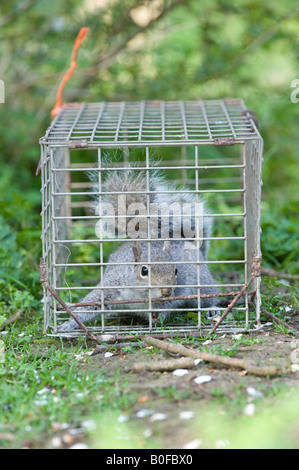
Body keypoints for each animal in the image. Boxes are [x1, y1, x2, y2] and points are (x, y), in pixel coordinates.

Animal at [58, 162, 218, 330]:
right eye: (144, 270)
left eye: (176, 270)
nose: (166, 291)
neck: (139, 294)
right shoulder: (111, 287)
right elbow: (91, 304)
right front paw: (69, 323)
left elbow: (165, 306)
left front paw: (158, 317)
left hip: (202, 281)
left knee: (208, 296)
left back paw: (211, 309)